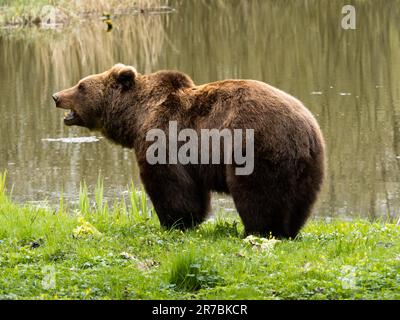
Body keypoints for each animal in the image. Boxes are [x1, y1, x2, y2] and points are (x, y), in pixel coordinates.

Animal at [52, 63, 324, 238]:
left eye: (81, 86)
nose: (56, 96)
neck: (137, 117)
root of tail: (307, 127)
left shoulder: (164, 138)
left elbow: (170, 185)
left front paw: (174, 222)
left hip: (255, 146)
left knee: (258, 193)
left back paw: (258, 230)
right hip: (307, 165)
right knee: (298, 200)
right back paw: (288, 229)